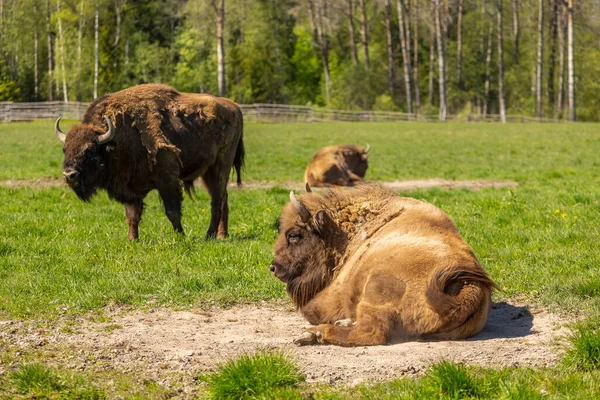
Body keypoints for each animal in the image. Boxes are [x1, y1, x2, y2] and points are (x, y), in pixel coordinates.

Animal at [55, 84, 245, 239]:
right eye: (65, 150)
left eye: (90, 150)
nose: (69, 175)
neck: (117, 139)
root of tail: (234, 107)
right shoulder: (130, 188)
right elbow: (132, 215)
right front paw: (132, 239)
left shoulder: (167, 180)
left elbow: (172, 211)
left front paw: (181, 236)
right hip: (208, 172)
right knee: (223, 198)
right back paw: (222, 235)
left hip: (220, 167)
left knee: (217, 200)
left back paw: (209, 235)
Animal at [270, 183, 494, 346]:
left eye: (295, 235)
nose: (274, 267)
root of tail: (471, 287)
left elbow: (310, 311)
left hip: (375, 286)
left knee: (372, 332)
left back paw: (315, 333)